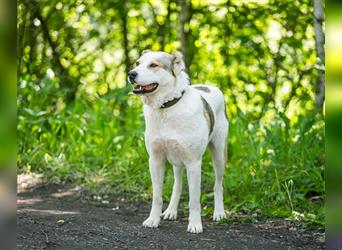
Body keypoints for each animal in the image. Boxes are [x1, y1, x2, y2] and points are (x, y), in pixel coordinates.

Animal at [127, 49, 228, 233]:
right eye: (137, 63)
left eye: (153, 65)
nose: (131, 74)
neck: (167, 108)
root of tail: (211, 87)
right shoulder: (155, 160)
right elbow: (157, 196)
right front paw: (153, 220)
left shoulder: (193, 163)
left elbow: (194, 200)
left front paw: (195, 224)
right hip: (177, 161)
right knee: (178, 184)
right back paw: (171, 211)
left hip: (218, 154)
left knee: (218, 185)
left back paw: (219, 213)